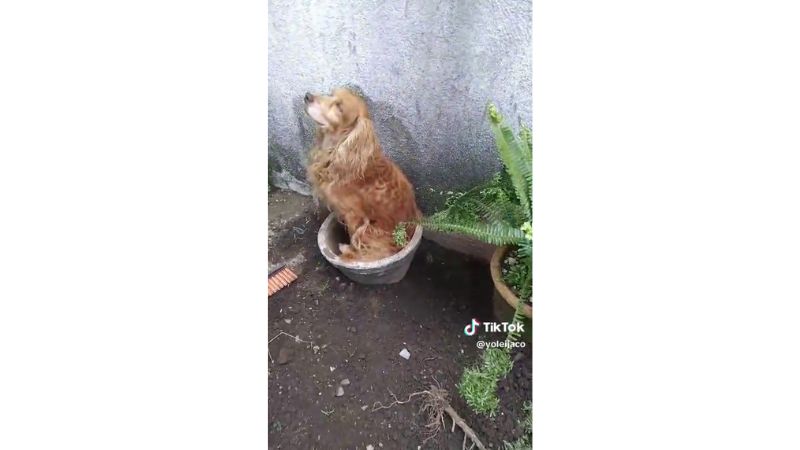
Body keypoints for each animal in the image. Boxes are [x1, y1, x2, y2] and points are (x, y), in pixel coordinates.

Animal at [304, 87, 422, 260]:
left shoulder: (353, 215)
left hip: (370, 231)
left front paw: (351, 251)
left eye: (339, 108)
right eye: (331, 94)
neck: (338, 149)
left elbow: (353, 238)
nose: (307, 96)